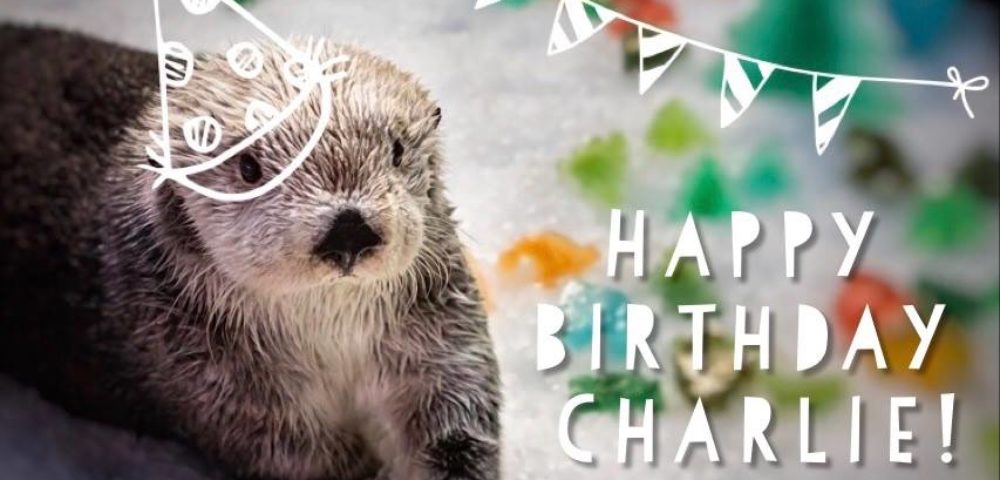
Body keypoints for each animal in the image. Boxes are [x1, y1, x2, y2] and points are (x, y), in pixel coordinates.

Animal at [0, 25, 500, 480]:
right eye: (248, 167)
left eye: (396, 150)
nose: (349, 231)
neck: (330, 324)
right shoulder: (215, 382)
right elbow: (300, 454)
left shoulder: (436, 327)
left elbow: (456, 418)